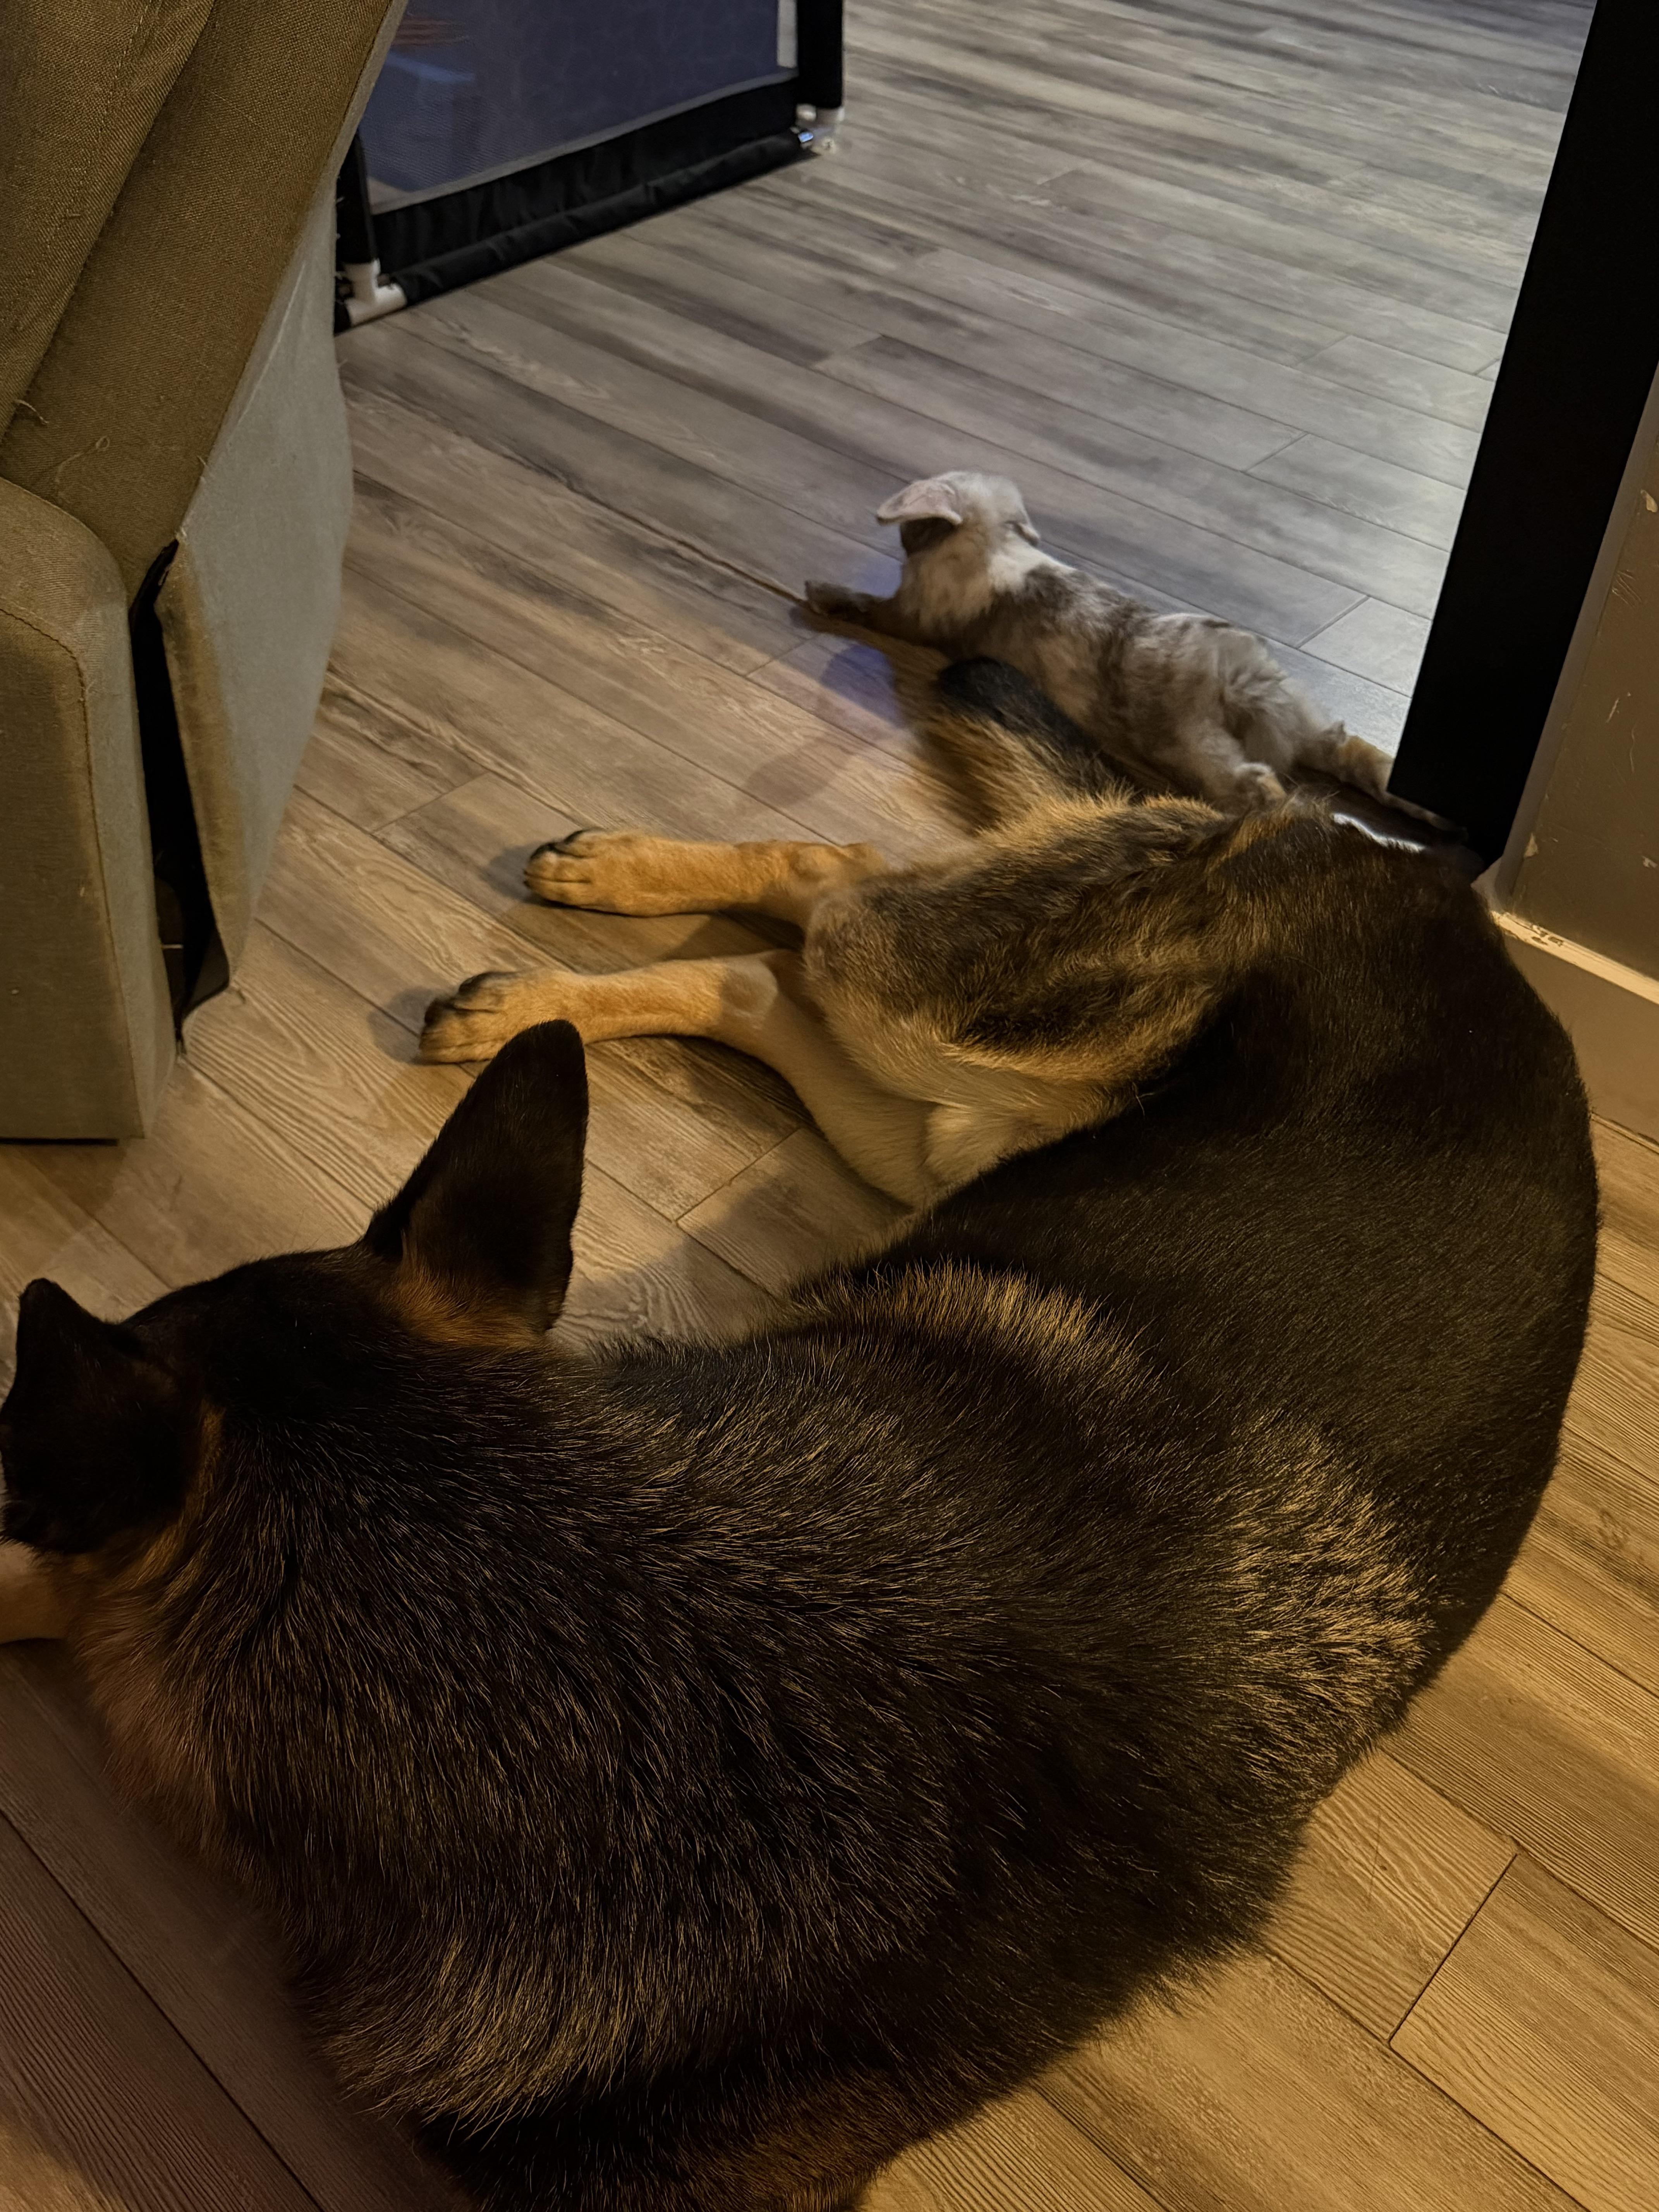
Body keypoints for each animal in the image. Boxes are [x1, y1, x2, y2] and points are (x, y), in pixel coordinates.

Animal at [0, 665, 1594, 2210]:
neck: (635, 1650)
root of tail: (1440, 886)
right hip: (933, 1072)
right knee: (809, 904)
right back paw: (582, 923)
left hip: (935, 1091)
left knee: (796, 929)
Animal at [806, 470, 1442, 823]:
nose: (904, 543)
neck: (988, 543)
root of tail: (1238, 682)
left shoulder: (910, 617)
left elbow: (871, 608)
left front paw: (820, 594)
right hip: (1304, 722)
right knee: (1357, 756)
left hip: (1196, 745)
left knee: (1258, 786)